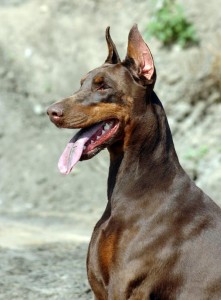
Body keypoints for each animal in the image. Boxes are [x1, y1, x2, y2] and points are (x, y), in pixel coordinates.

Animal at [47, 24, 221, 298]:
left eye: (103, 86)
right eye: (81, 83)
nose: (51, 112)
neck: (133, 189)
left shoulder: (125, 287)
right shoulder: (99, 288)